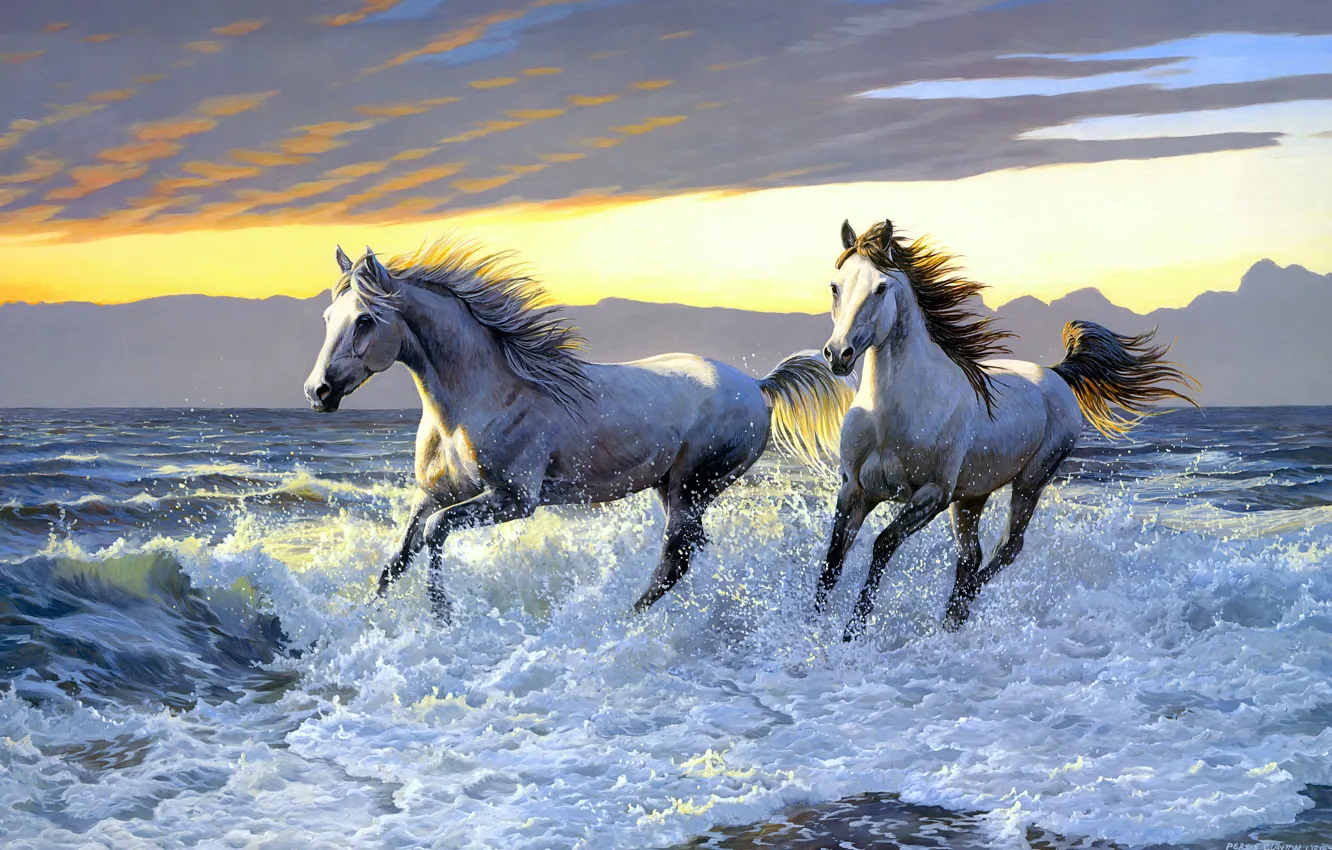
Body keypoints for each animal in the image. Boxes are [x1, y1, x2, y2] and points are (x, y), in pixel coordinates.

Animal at [303, 236, 854, 619]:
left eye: (365, 320)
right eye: (328, 316)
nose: (318, 392)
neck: (478, 400)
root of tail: (759, 386)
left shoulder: (514, 500)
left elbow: (436, 533)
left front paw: (443, 615)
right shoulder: (434, 494)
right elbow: (399, 555)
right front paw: (369, 616)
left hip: (693, 485)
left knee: (675, 557)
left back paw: (621, 622)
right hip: (672, 488)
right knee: (687, 552)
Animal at [816, 218, 1199, 640]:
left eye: (880, 288)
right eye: (835, 286)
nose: (838, 354)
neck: (892, 415)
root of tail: (1057, 374)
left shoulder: (931, 495)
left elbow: (883, 544)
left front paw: (852, 632)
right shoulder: (855, 490)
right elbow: (832, 563)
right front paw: (810, 628)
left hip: (1031, 481)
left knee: (1006, 549)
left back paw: (958, 612)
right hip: (971, 497)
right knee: (972, 556)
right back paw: (952, 621)